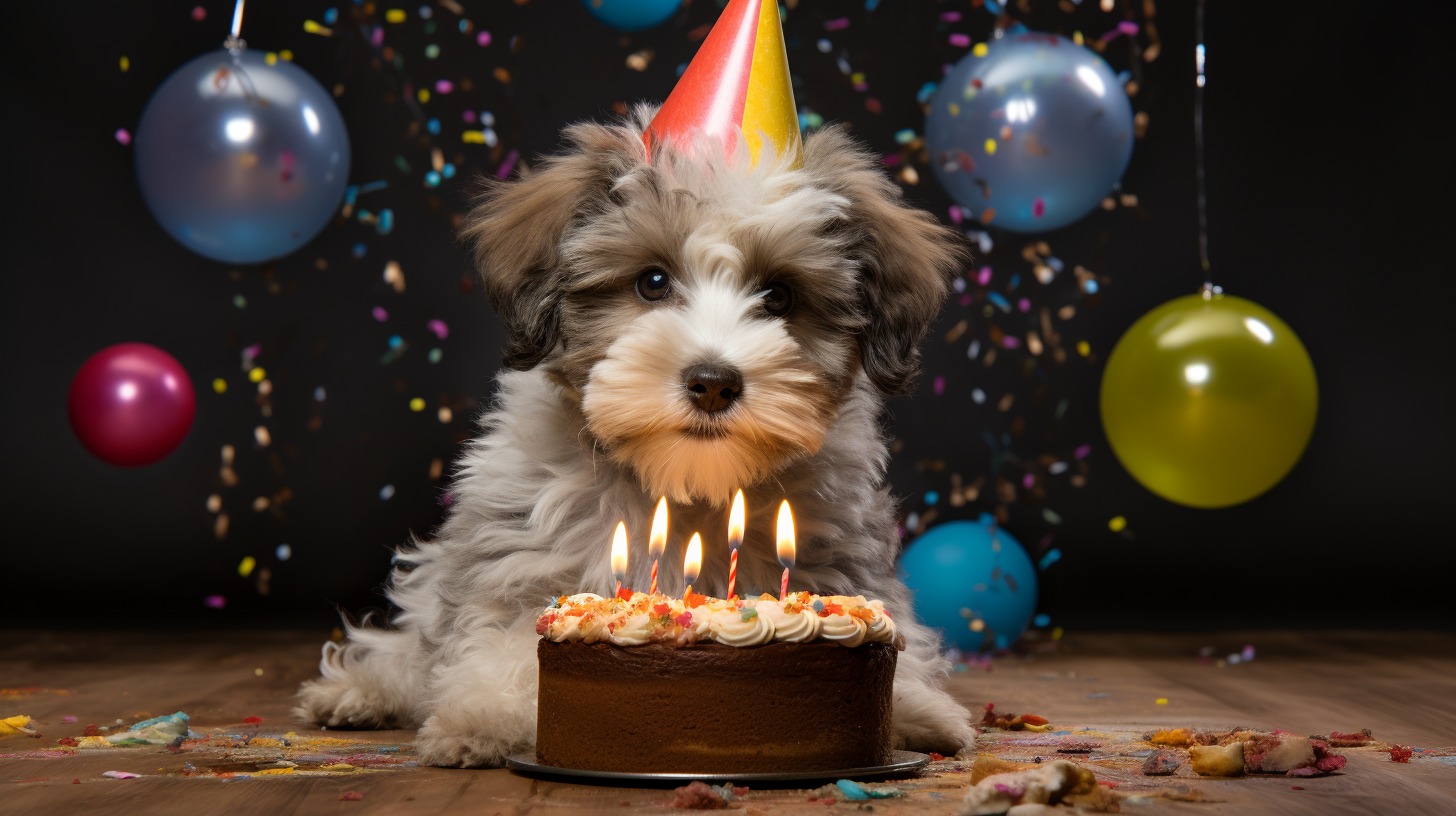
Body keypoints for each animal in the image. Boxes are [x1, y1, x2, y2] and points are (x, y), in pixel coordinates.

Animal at [295, 107, 978, 763]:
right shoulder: (519, 552)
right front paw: (482, 717)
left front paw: (915, 708)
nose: (713, 382)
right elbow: (501, 635)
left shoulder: (839, 556)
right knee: (410, 646)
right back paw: (359, 691)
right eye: (652, 282)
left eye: (780, 295)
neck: (685, 486)